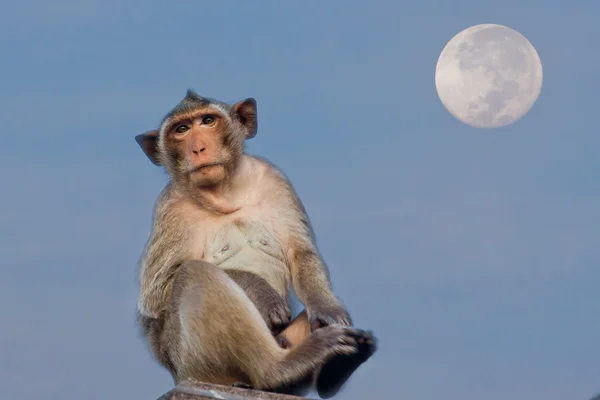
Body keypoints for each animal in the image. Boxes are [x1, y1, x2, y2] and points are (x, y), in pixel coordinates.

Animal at [137, 90, 378, 396]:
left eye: (207, 121)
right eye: (181, 130)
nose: (198, 149)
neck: (225, 193)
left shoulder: (275, 180)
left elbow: (301, 252)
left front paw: (327, 308)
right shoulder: (170, 208)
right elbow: (155, 297)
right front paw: (262, 294)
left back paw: (333, 369)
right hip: (195, 365)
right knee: (194, 274)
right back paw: (282, 368)